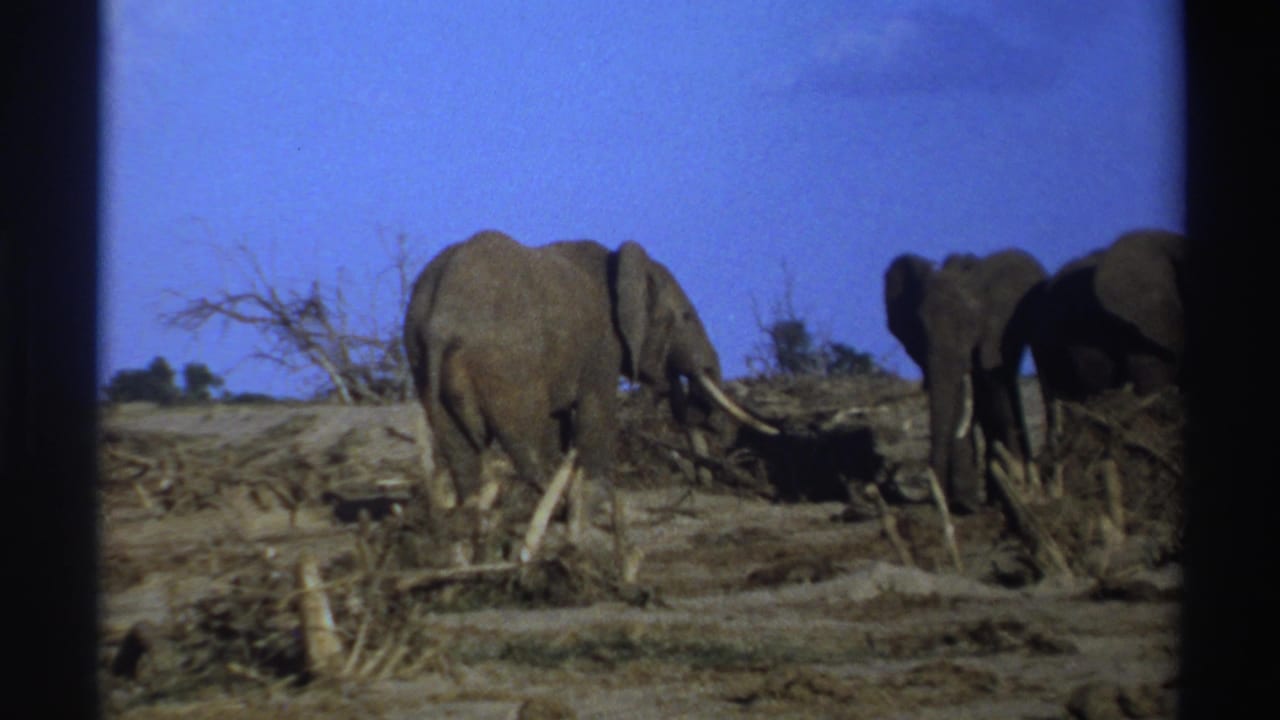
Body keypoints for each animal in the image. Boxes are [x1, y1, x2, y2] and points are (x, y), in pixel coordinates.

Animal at [403, 230, 777, 568]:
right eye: (685, 317)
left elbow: (559, 427)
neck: (621, 263)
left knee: (464, 458)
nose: (709, 426)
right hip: (506, 366)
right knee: (526, 450)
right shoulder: (602, 347)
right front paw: (590, 508)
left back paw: (483, 552)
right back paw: (537, 535)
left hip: (424, 364)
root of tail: (439, 323)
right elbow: (596, 414)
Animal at [884, 249, 1048, 514]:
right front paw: (964, 504)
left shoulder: (993, 335)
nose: (938, 501)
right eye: (920, 325)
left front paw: (966, 504)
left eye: (971, 324)